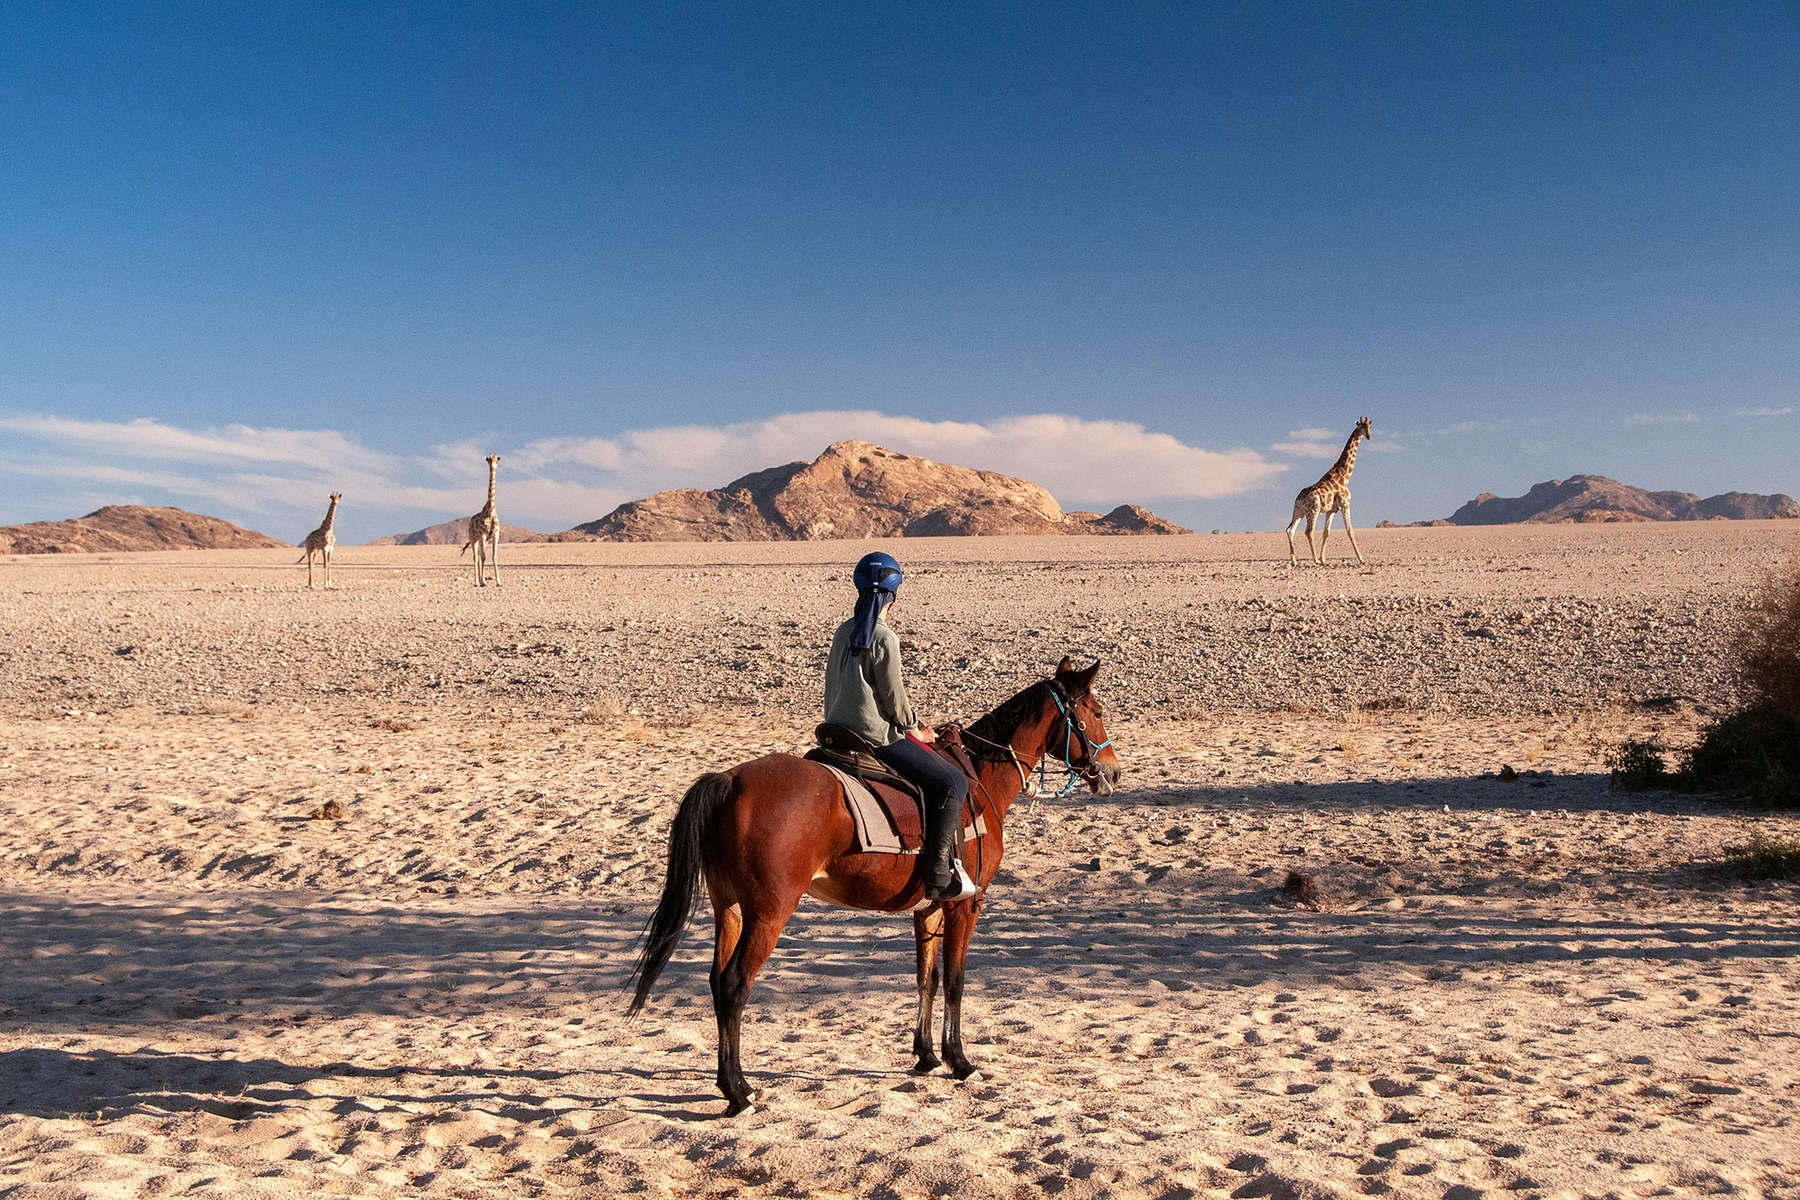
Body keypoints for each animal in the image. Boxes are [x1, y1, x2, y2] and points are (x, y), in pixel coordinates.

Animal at [460, 455, 504, 586]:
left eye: (497, 459)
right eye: (488, 459)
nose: (493, 466)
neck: (491, 510)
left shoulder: (495, 534)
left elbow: (494, 556)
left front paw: (498, 581)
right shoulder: (483, 535)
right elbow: (484, 557)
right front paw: (483, 581)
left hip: (483, 541)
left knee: (479, 556)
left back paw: (480, 580)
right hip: (473, 539)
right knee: (475, 557)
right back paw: (476, 582)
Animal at [626, 658, 1116, 1115]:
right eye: (1095, 711)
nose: (1112, 773)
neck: (980, 778)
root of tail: (730, 781)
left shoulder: (930, 907)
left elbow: (927, 978)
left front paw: (926, 1057)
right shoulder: (966, 905)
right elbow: (955, 980)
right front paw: (959, 1060)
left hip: (727, 908)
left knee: (715, 981)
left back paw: (734, 1083)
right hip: (767, 914)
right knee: (733, 985)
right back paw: (737, 1092)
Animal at [1288, 417, 1368, 568]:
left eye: (1370, 425)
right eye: (1362, 427)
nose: (1369, 436)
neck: (1344, 477)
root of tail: (1298, 499)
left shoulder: (1332, 510)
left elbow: (1326, 532)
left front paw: (1324, 559)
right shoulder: (1345, 504)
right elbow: (1350, 530)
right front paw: (1361, 559)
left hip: (1298, 512)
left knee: (1290, 530)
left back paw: (1294, 560)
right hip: (1313, 511)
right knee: (1309, 531)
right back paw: (1314, 560)